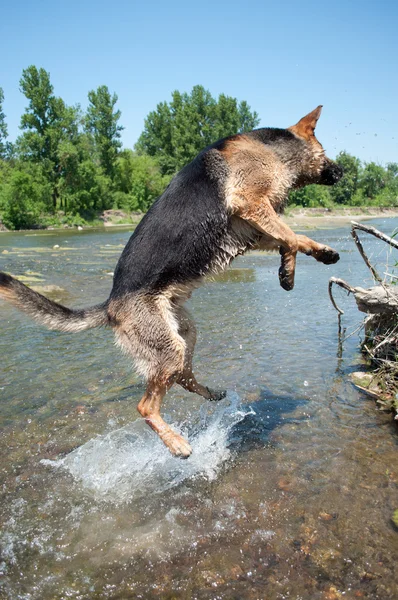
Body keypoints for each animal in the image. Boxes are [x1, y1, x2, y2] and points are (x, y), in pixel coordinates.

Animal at [0, 105, 342, 458]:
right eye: (325, 151)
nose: (344, 171)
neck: (271, 150)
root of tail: (110, 305)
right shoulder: (251, 204)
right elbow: (291, 236)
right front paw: (300, 264)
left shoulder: (255, 226)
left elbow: (292, 239)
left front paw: (304, 263)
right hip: (168, 349)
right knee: (146, 406)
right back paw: (176, 443)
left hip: (184, 336)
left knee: (181, 378)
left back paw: (211, 393)